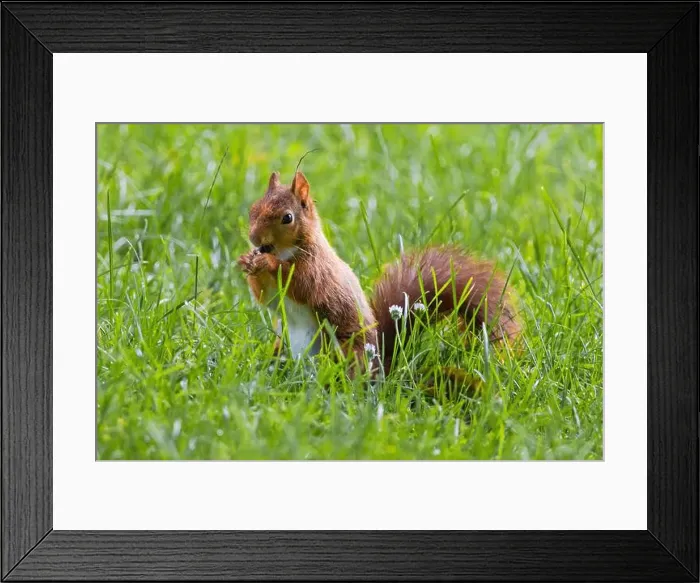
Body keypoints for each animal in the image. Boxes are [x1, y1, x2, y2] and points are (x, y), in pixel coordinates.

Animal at [237, 170, 521, 384]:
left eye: (287, 218)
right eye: (253, 209)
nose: (254, 238)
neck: (287, 251)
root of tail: (381, 370)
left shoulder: (316, 271)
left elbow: (297, 283)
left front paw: (265, 262)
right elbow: (266, 298)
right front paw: (246, 261)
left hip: (346, 349)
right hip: (282, 346)